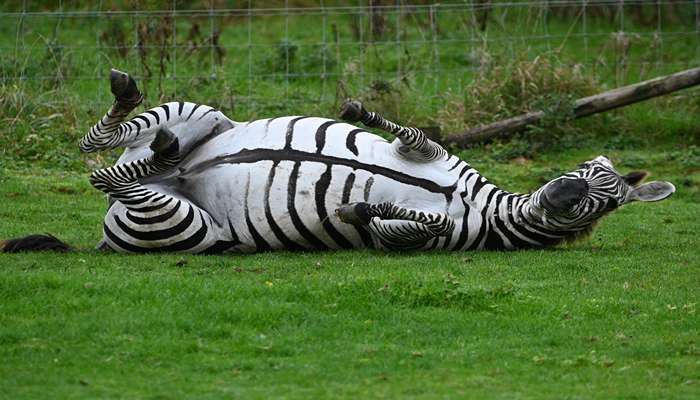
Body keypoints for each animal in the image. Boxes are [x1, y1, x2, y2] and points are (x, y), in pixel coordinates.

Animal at [2, 69, 676, 255]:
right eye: (588, 174)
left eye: (600, 205)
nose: (561, 195)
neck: (486, 210)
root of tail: (101, 241)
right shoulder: (432, 153)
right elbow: (413, 134)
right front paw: (358, 108)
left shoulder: (408, 241)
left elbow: (407, 224)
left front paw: (358, 209)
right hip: (201, 113)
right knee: (102, 146)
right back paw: (131, 103)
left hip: (186, 224)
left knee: (104, 175)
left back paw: (157, 152)